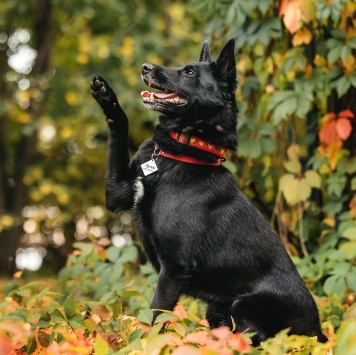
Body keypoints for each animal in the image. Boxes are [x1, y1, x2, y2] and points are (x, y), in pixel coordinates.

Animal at [90, 39, 326, 348]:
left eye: (189, 72)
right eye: (180, 66)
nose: (145, 67)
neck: (180, 152)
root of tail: (318, 333)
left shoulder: (174, 269)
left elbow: (154, 318)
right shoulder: (117, 192)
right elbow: (120, 125)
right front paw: (107, 97)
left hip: (243, 304)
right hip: (216, 309)